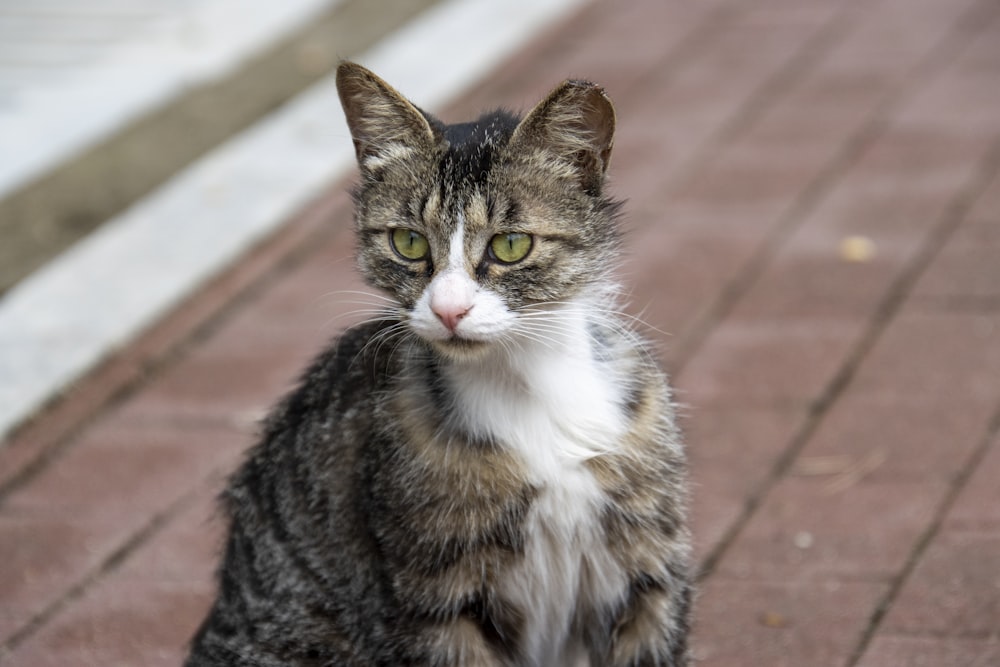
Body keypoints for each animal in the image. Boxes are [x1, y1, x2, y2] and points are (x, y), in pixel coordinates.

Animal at [184, 62, 692, 667]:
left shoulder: (648, 570)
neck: (528, 385)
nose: (449, 310)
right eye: (407, 241)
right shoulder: (433, 602)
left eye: (511, 245)